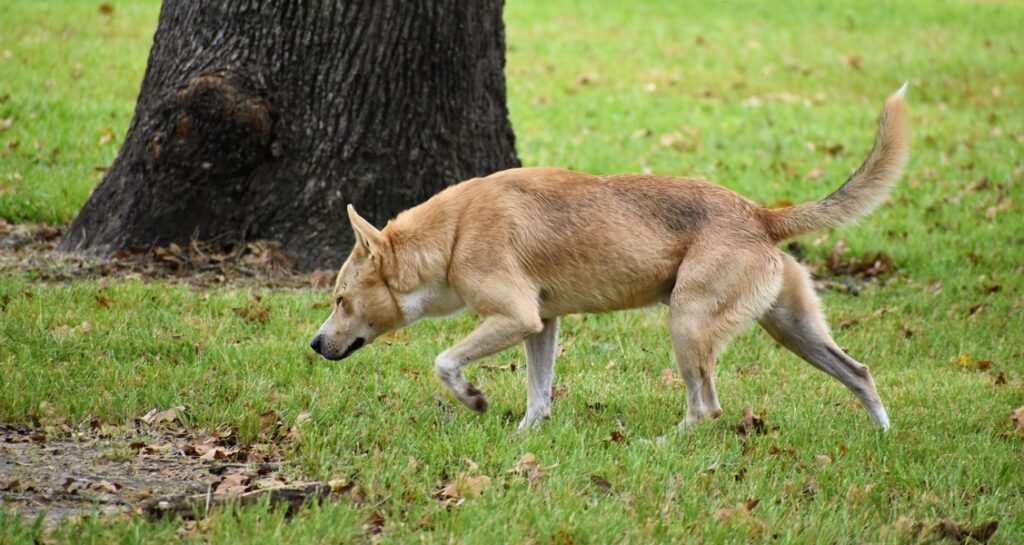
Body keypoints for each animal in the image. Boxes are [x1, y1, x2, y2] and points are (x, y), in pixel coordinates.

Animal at [307, 84, 909, 430]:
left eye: (339, 299)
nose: (313, 345)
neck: (454, 232)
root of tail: (760, 215)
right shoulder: (541, 324)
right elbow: (538, 395)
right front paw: (526, 439)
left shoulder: (514, 316)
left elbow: (444, 361)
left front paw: (473, 400)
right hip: (790, 329)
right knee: (859, 373)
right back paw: (882, 435)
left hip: (687, 323)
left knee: (706, 406)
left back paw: (664, 443)